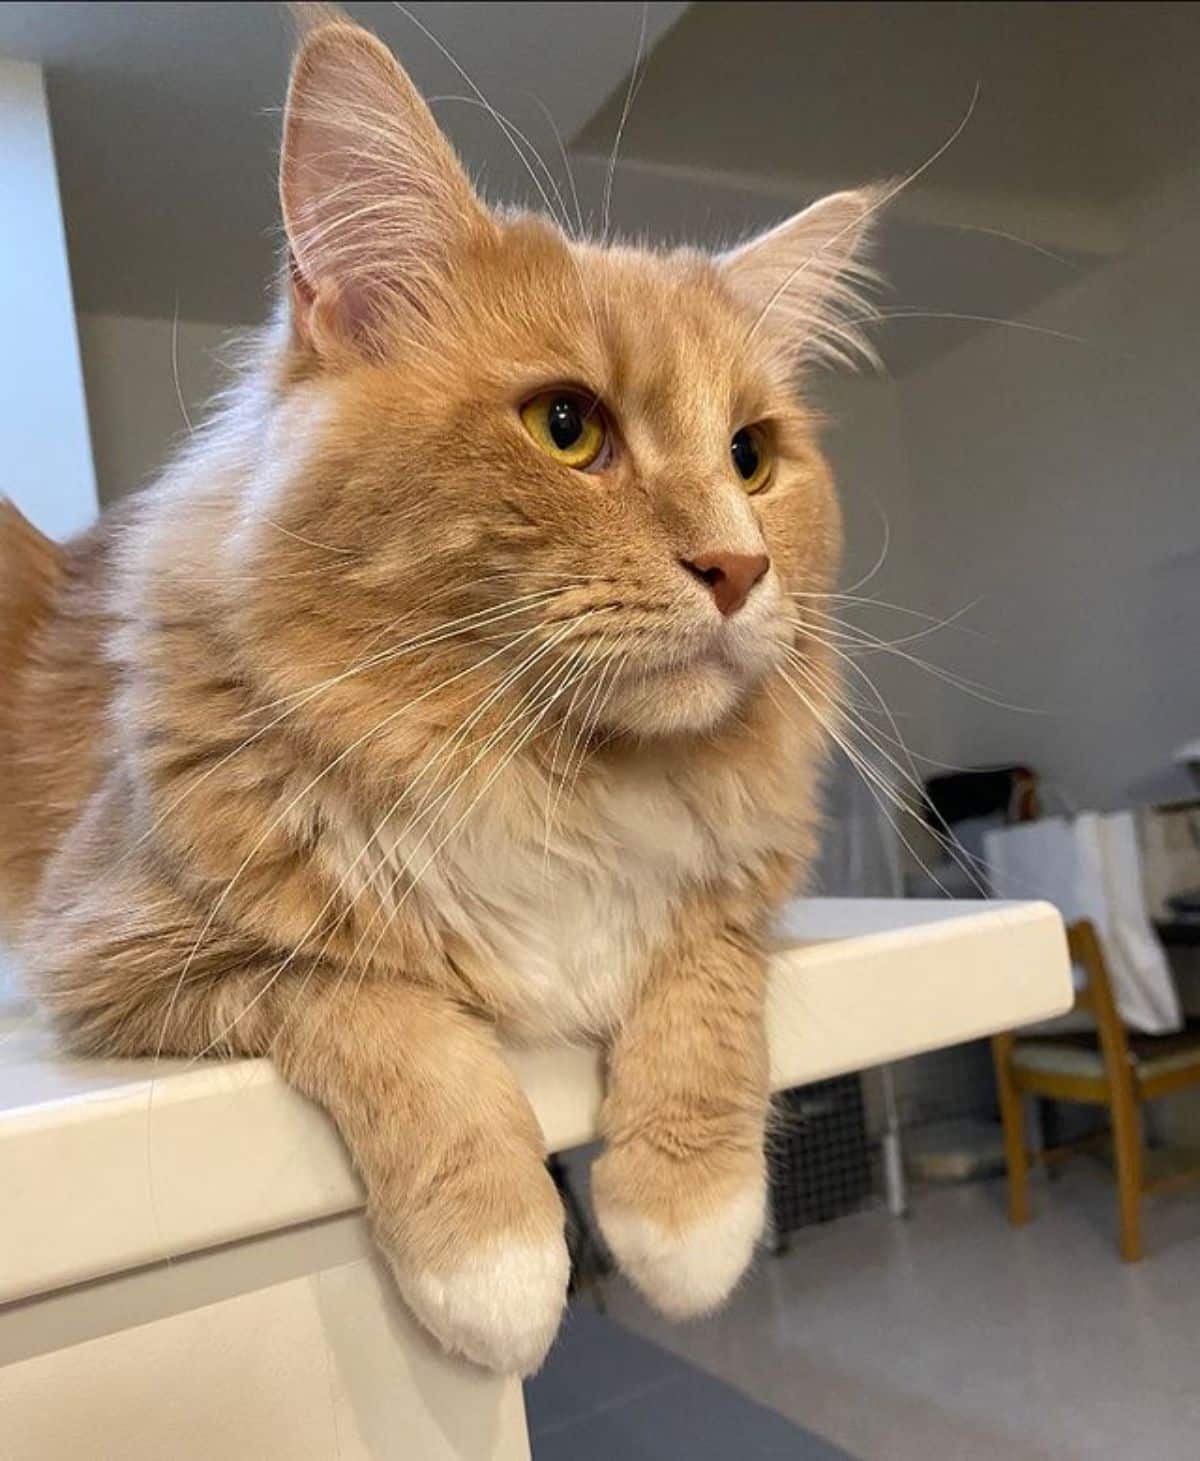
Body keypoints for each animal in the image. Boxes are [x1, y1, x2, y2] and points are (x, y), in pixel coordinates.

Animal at [2, 11, 882, 1373]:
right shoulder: (119, 958)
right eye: (567, 426)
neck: (551, 774)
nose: (742, 567)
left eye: (752, 457)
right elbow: (382, 1011)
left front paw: (686, 1209)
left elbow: (703, 983)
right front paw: (501, 1258)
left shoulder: (740, 891)